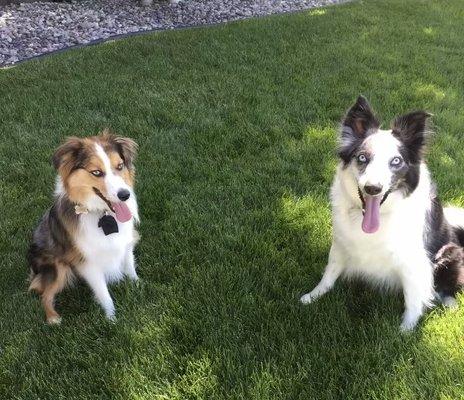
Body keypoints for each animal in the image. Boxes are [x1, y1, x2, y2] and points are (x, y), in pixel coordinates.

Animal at [27, 130, 139, 324]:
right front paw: (111, 319)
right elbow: (103, 292)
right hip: (59, 266)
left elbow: (129, 266)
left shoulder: (126, 242)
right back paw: (53, 318)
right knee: (44, 294)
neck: (103, 213)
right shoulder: (87, 261)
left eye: (120, 166)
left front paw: (139, 285)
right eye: (96, 172)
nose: (125, 195)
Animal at [300, 96, 464, 332]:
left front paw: (405, 331)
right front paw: (312, 296)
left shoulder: (414, 261)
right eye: (362, 157)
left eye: (396, 161)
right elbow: (329, 273)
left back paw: (450, 305)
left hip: (450, 253)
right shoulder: (340, 242)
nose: (372, 188)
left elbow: (413, 299)